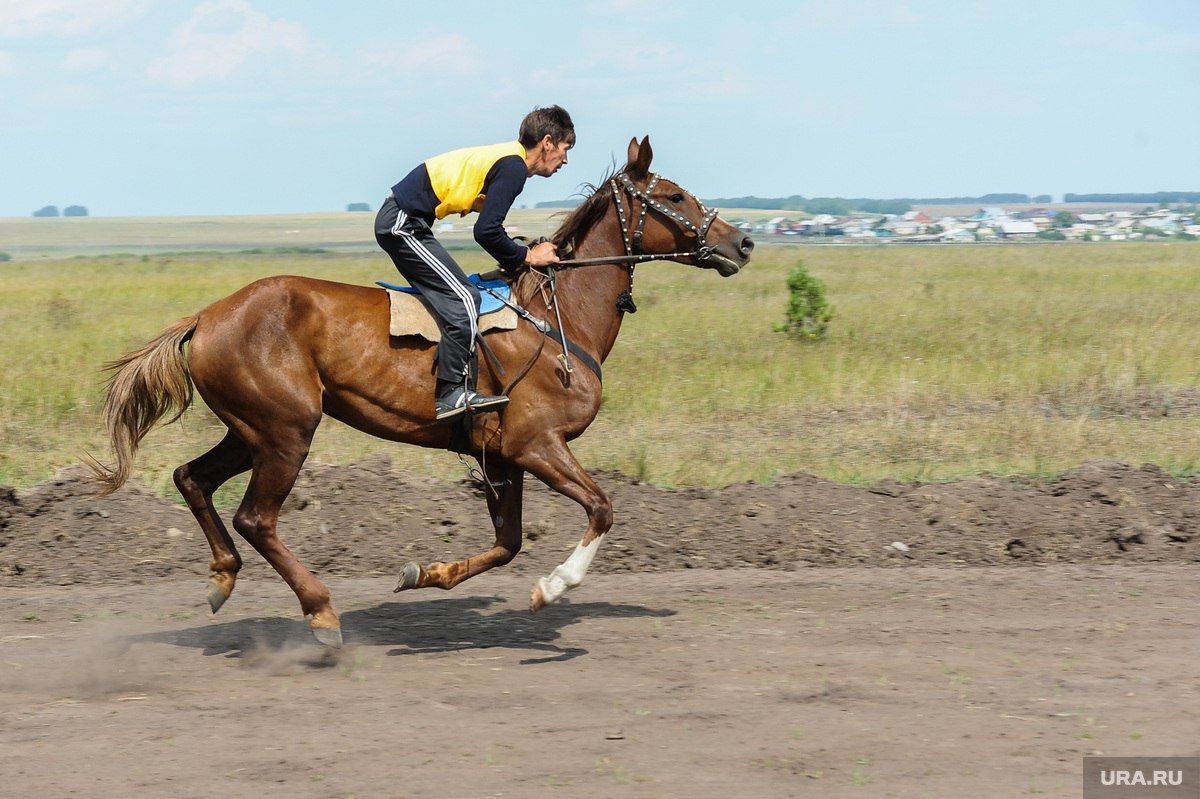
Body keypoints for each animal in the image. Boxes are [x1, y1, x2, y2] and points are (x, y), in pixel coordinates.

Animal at [91, 138, 748, 647]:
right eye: (674, 196)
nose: (741, 244)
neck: (555, 318)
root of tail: (205, 317)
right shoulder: (537, 444)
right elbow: (602, 508)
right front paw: (551, 588)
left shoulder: (503, 459)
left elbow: (507, 544)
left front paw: (423, 574)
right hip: (286, 432)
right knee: (256, 518)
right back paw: (321, 612)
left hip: (250, 429)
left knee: (192, 479)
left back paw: (223, 577)